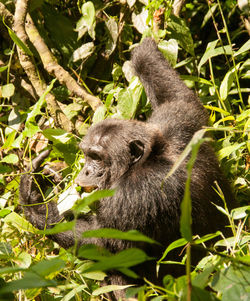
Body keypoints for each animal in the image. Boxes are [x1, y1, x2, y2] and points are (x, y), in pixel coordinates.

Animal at [19, 39, 234, 298]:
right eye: (87, 155)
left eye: (97, 158)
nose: (86, 171)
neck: (147, 160)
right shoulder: (180, 125)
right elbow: (177, 97)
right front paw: (145, 48)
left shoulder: (132, 195)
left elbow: (108, 246)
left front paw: (34, 201)